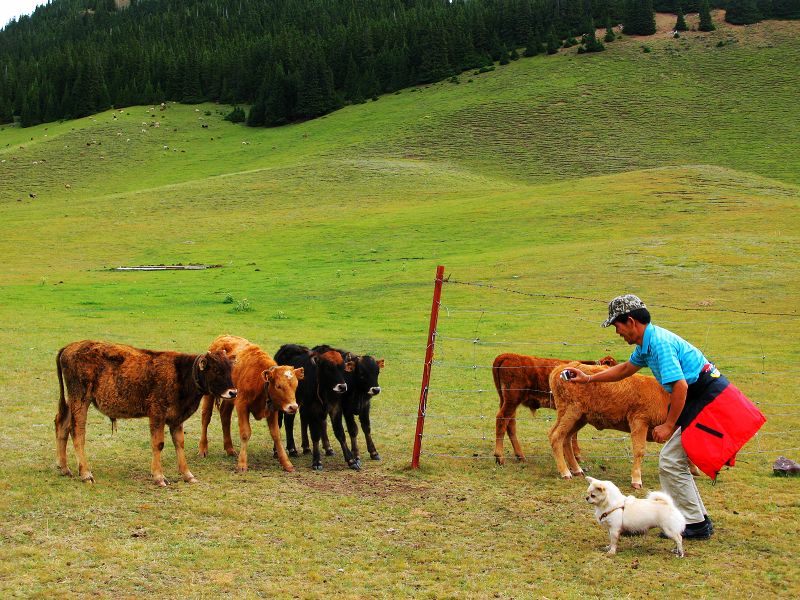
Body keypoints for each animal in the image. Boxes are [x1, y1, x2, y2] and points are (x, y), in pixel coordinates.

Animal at [55, 340, 236, 486]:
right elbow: (158, 444)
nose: (233, 392)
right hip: (80, 400)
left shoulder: (177, 418)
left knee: (62, 425)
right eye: (217, 370)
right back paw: (85, 473)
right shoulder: (157, 414)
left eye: (230, 370)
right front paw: (159, 477)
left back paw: (64, 468)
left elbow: (179, 443)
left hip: (73, 402)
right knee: (77, 432)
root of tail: (70, 347)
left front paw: (187, 475)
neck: (181, 374)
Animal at [197, 336, 304, 472]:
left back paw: (229, 448)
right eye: (279, 386)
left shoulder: (272, 411)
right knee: (206, 417)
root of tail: (221, 337)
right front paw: (242, 464)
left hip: (230, 396)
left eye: (296, 385)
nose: (293, 407)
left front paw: (286, 463)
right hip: (209, 394)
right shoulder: (242, 405)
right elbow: (245, 433)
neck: (260, 381)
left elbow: (276, 435)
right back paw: (202, 449)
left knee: (225, 415)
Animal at [272, 344, 354, 472]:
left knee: (289, 421)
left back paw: (293, 449)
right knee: (280, 423)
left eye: (343, 367)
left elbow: (339, 432)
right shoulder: (313, 408)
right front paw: (317, 461)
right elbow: (315, 434)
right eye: (328, 368)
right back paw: (277, 451)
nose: (342, 387)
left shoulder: (334, 408)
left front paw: (351, 460)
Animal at [552, 360, 668, 488]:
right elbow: (639, 451)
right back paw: (565, 472)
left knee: (566, 438)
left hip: (580, 419)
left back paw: (577, 469)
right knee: (556, 437)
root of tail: (561, 368)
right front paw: (636, 480)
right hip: (570, 413)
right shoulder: (639, 421)